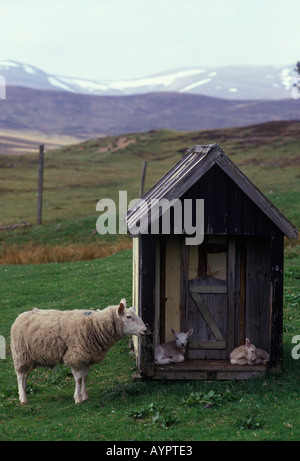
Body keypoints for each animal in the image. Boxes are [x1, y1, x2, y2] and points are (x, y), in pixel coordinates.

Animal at [11, 298, 147, 402]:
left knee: (25, 376)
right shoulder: (75, 357)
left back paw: (23, 393)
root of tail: (19, 316)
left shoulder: (87, 359)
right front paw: (78, 398)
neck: (95, 325)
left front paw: (85, 396)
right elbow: (78, 379)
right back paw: (23, 399)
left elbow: (85, 378)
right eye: (129, 317)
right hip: (21, 354)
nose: (145, 330)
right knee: (20, 376)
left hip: (31, 357)